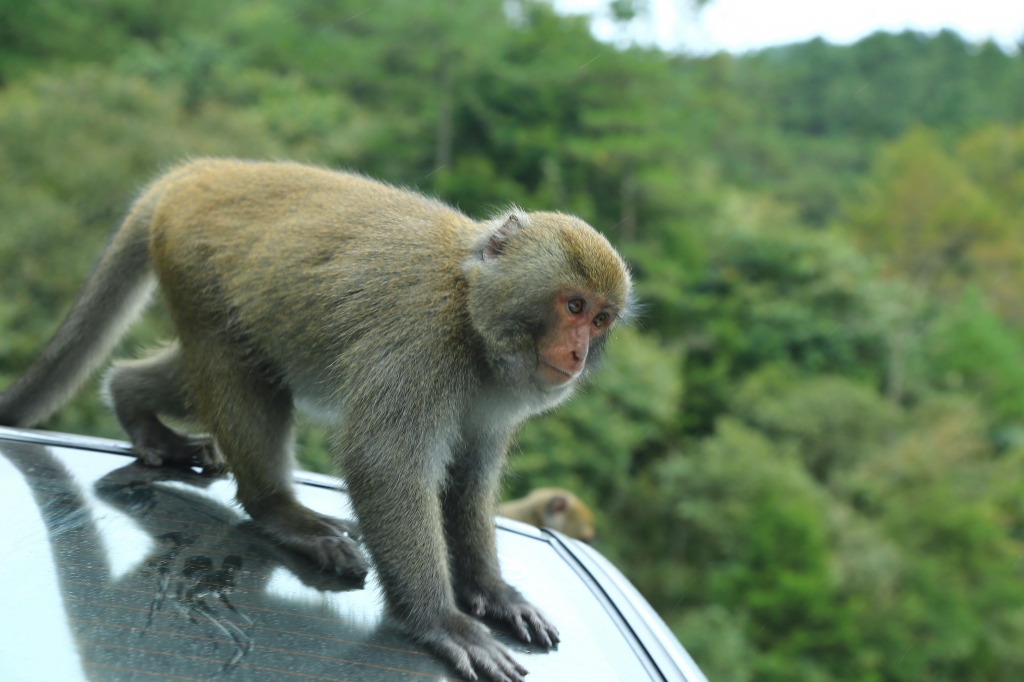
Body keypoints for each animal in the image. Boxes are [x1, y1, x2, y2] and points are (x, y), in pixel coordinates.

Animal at [0, 157, 630, 679]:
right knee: (242, 374)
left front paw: (492, 591)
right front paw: (440, 620)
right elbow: (384, 465)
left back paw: (132, 401)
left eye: (600, 319)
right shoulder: (422, 340)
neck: (472, 315)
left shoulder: (498, 394)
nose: (577, 354)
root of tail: (202, 171)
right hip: (193, 263)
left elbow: (468, 480)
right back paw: (280, 511)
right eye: (573, 305)